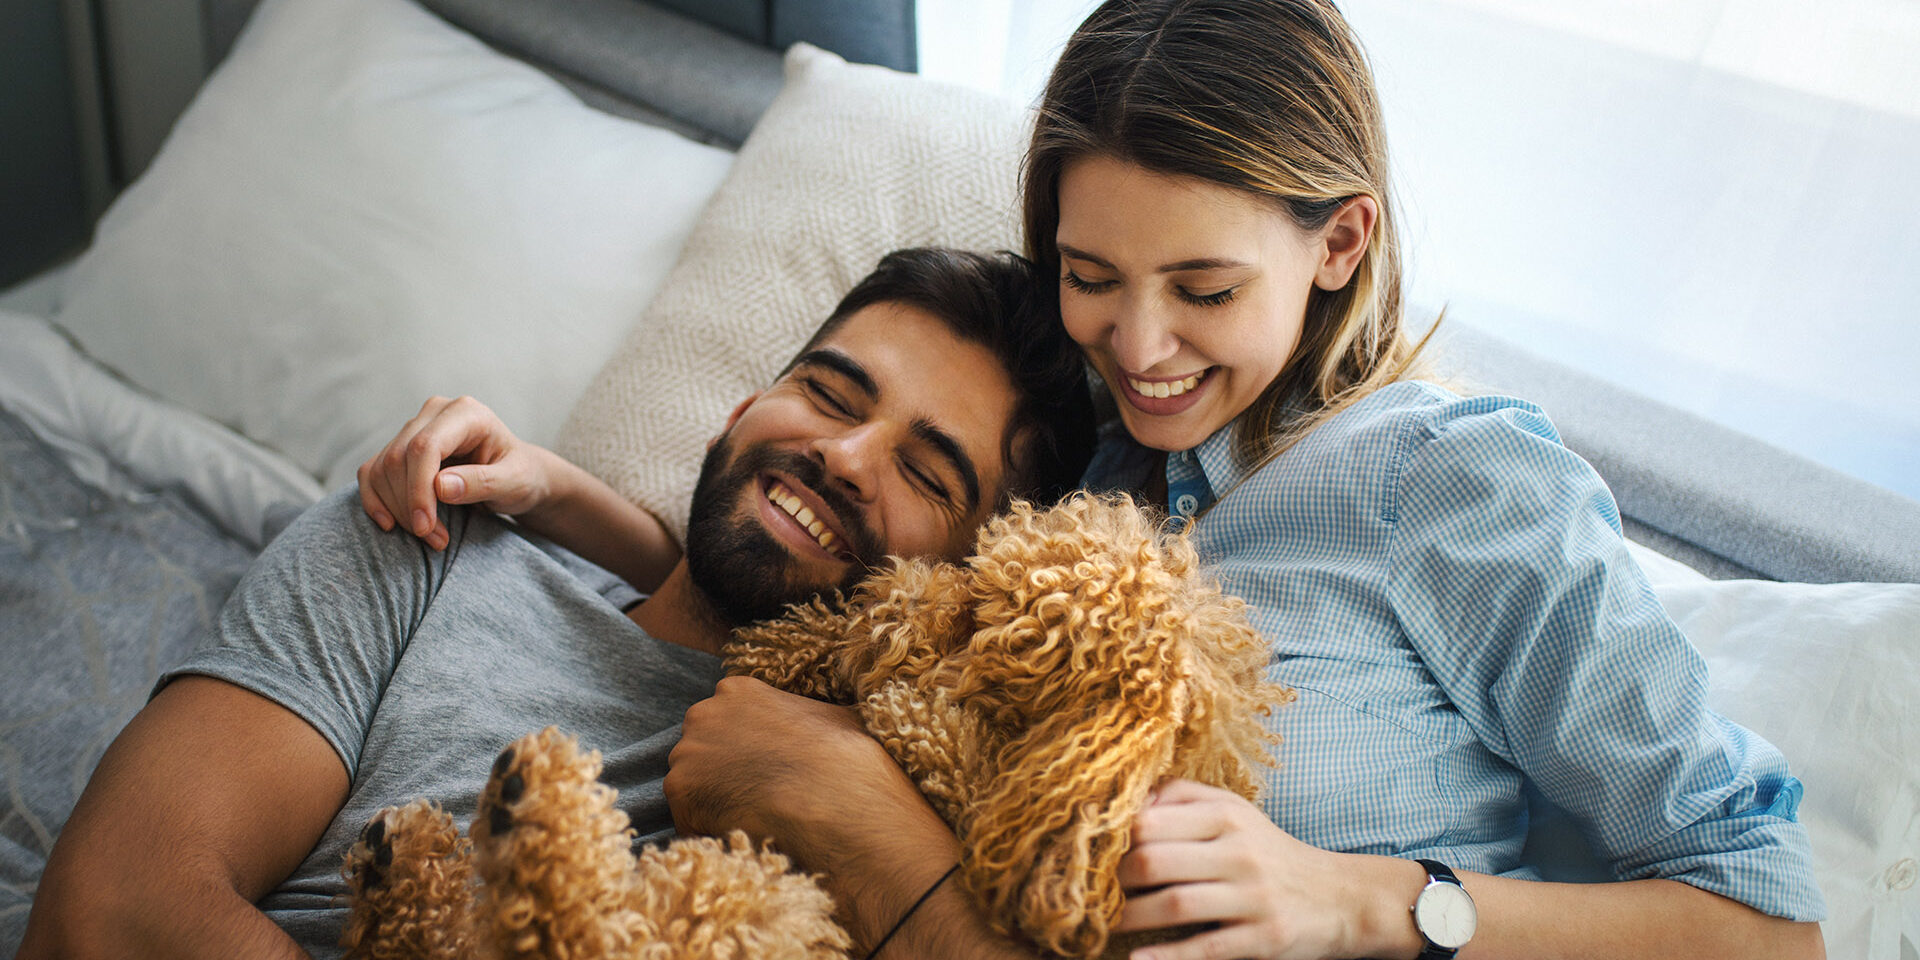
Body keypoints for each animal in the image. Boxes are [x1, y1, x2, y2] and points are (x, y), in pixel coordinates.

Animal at [349, 495, 1305, 960]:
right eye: (981, 579)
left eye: (994, 631)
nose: (906, 599)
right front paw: (818, 637)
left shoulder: (982, 786)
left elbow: (917, 719)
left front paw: (886, 665)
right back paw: (407, 860)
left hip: (755, 902)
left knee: (581, 937)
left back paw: (525, 806)